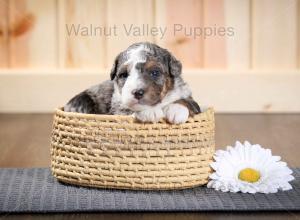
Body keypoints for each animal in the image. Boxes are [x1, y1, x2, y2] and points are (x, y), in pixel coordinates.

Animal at [65, 41, 202, 124]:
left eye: (155, 72)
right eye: (124, 75)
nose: (137, 92)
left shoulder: (186, 94)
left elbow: (188, 102)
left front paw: (176, 110)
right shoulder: (118, 107)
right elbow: (130, 109)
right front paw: (149, 112)